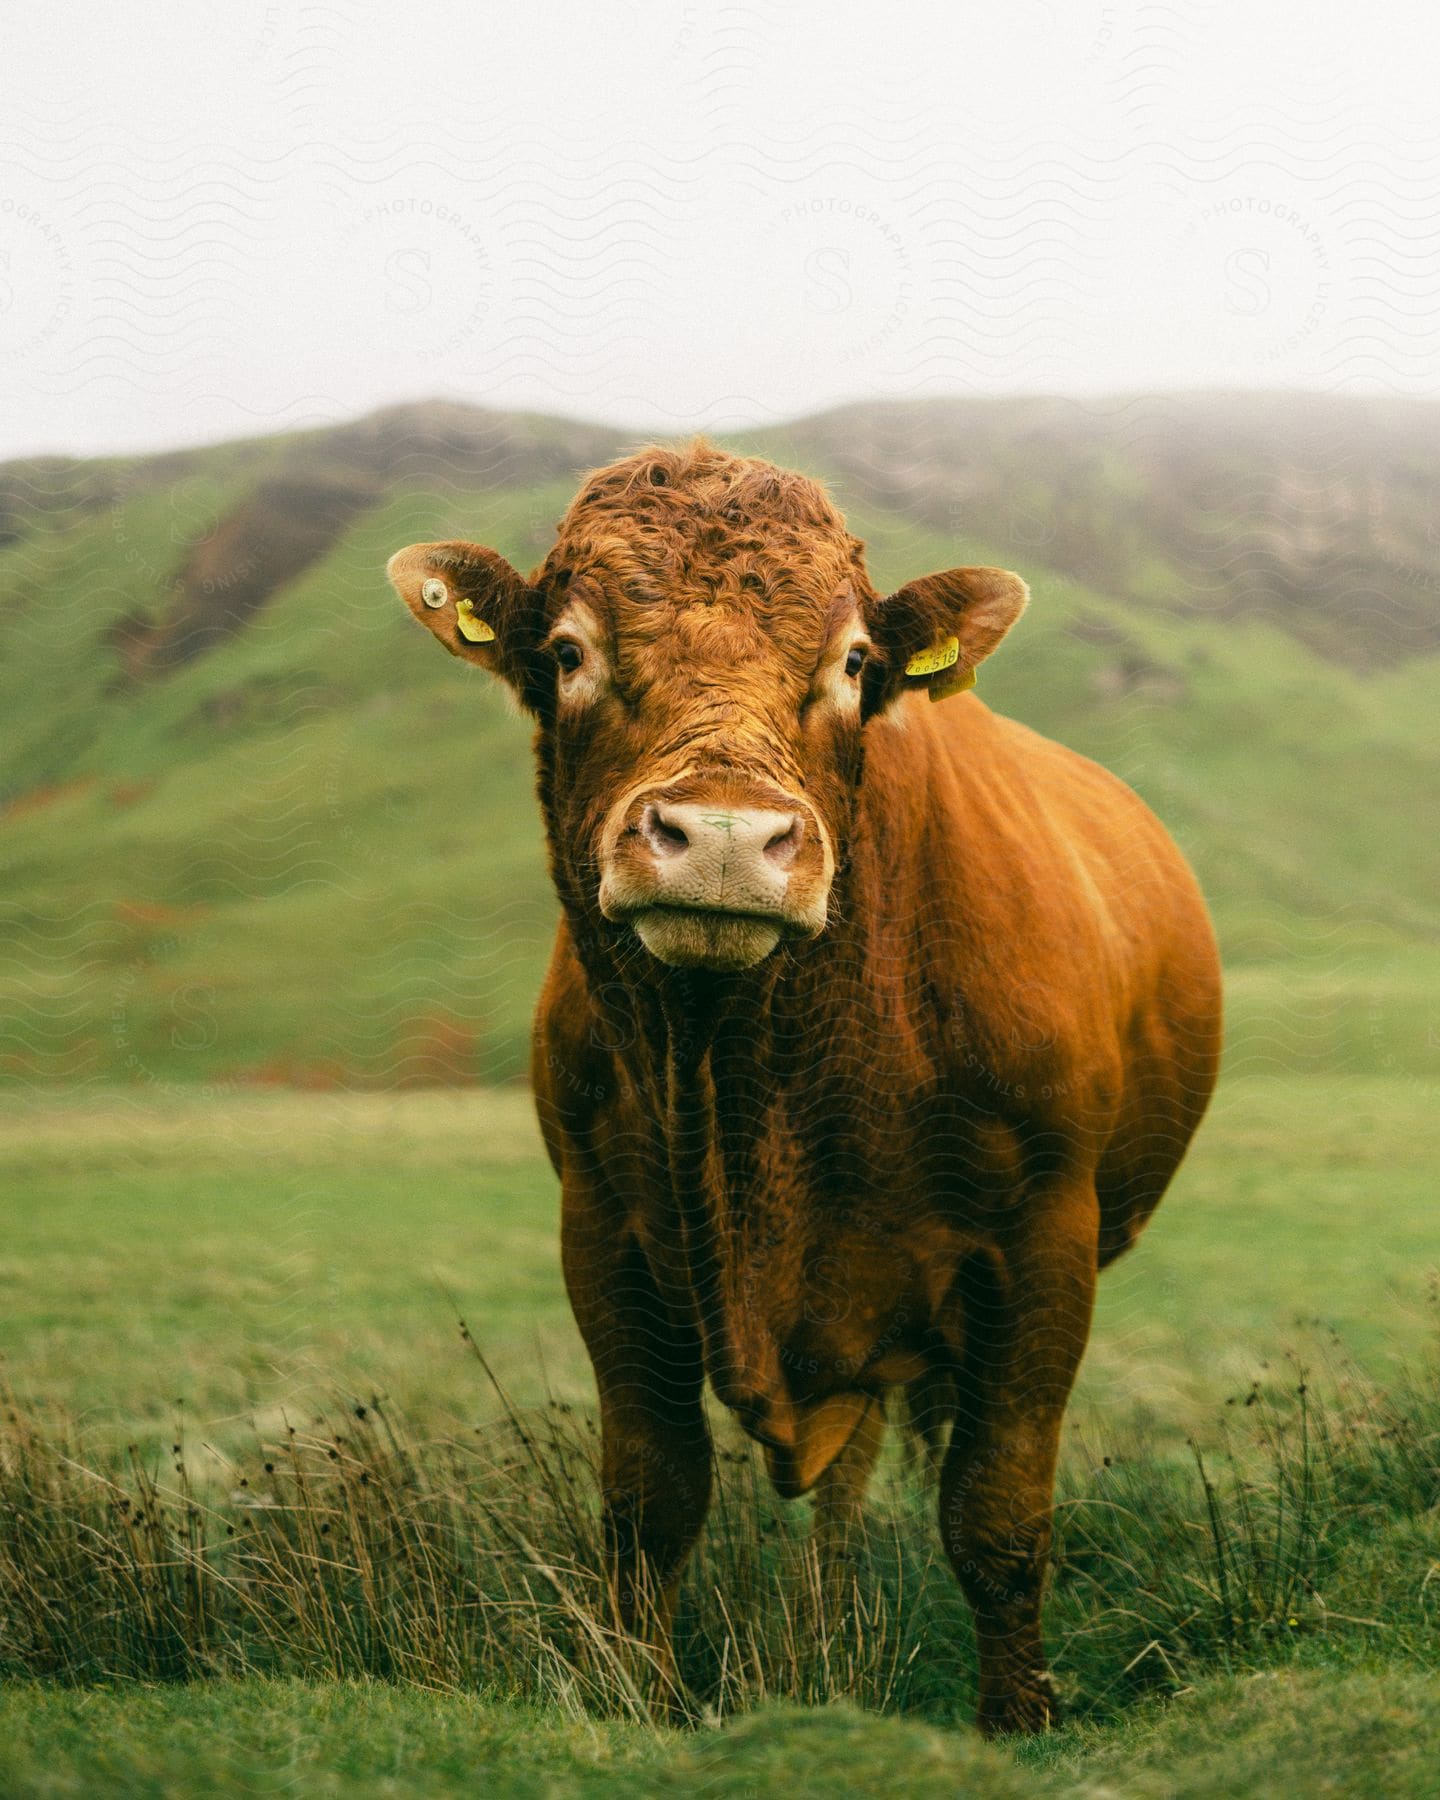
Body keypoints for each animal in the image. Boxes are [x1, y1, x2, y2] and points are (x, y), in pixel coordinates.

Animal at [388, 442, 1224, 1735]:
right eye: (569, 652)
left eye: (855, 663)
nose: (727, 837)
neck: (755, 1083)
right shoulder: (604, 1231)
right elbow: (651, 1499)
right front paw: (643, 1698)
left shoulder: (1043, 1238)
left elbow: (998, 1508)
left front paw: (1018, 1717)